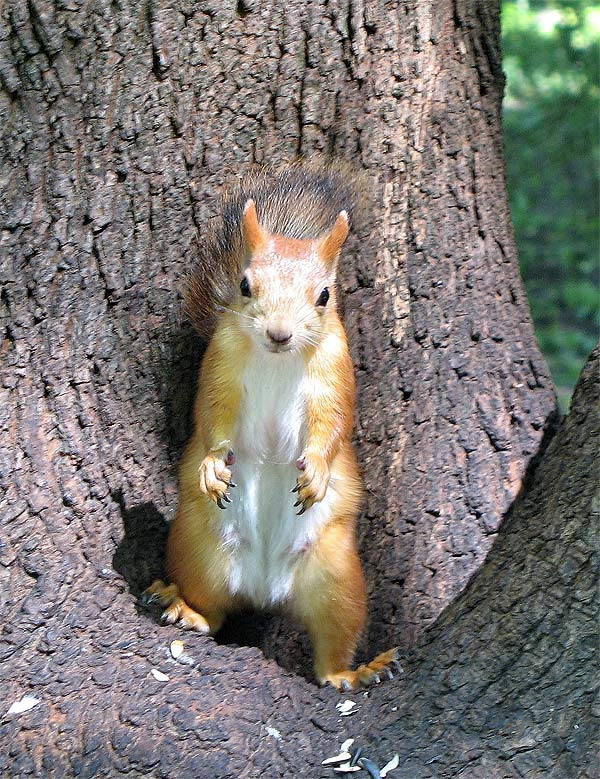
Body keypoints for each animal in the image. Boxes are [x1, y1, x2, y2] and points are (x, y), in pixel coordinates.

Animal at [144, 160, 398, 690]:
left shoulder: (335, 373)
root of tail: (264, 586)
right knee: (212, 612)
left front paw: (317, 470)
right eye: (245, 286)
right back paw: (182, 607)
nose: (279, 334)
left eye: (325, 295)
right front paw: (211, 465)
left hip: (337, 578)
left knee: (330, 651)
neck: (278, 360)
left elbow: (334, 423)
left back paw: (357, 673)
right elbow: (211, 414)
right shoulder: (219, 366)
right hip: (199, 550)